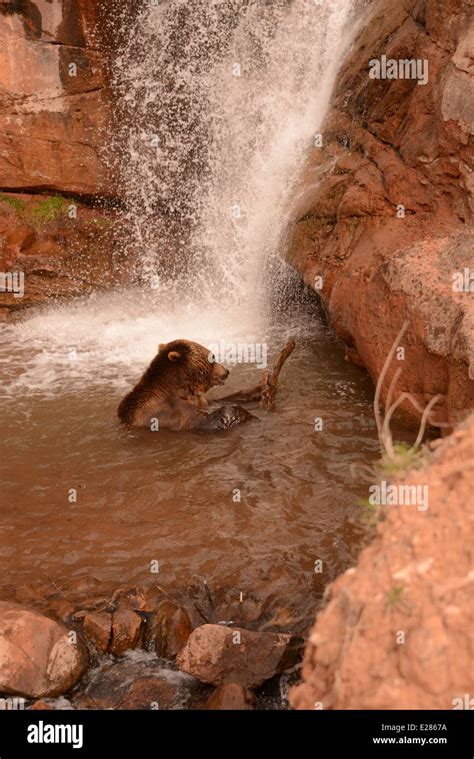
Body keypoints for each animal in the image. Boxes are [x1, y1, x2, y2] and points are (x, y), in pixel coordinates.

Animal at [117, 340, 266, 430]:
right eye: (213, 356)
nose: (226, 371)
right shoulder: (169, 411)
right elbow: (202, 420)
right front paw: (243, 413)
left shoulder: (200, 400)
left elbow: (224, 399)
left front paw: (260, 388)